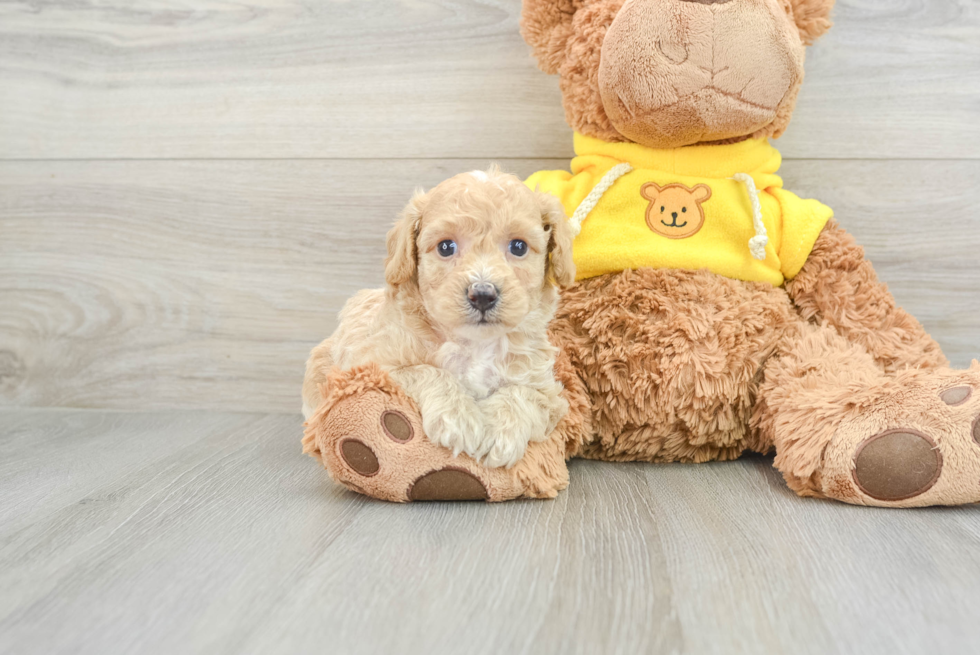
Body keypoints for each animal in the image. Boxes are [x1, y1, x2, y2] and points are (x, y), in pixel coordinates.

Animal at [298, 167, 576, 468]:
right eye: (445, 247)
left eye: (518, 247)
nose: (482, 294)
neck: (474, 344)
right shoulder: (370, 366)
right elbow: (427, 371)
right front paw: (458, 419)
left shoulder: (547, 391)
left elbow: (523, 394)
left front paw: (500, 432)